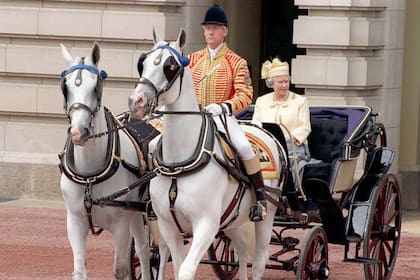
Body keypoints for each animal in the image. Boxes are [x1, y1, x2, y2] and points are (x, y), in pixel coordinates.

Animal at [58, 42, 152, 280]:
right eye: (65, 87)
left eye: (96, 87)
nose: (78, 132)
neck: (90, 176)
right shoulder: (75, 222)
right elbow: (79, 271)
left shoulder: (121, 224)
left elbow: (121, 269)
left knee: (147, 251)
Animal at [128, 29, 286, 280]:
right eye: (142, 62)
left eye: (170, 66)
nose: (137, 101)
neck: (179, 165)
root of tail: (263, 129)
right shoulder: (168, 226)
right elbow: (176, 264)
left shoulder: (206, 225)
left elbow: (185, 270)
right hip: (232, 220)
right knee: (241, 247)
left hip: (266, 216)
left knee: (260, 259)